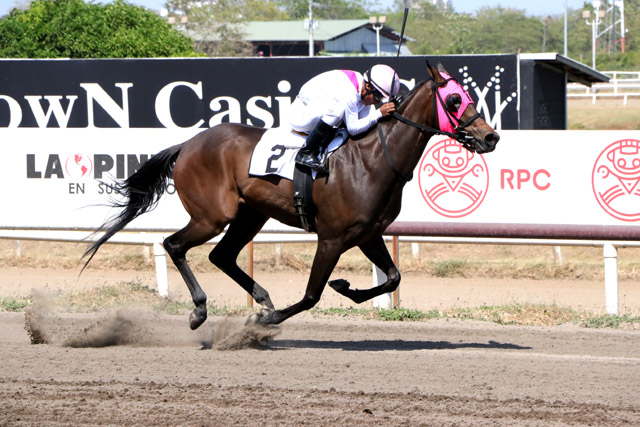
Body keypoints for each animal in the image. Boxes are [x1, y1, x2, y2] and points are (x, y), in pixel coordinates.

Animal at [84, 61, 500, 328]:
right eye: (454, 101)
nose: (490, 136)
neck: (373, 159)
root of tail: (187, 144)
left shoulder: (367, 234)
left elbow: (394, 278)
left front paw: (345, 287)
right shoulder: (331, 238)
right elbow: (313, 295)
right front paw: (267, 319)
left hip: (250, 214)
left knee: (221, 255)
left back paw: (260, 297)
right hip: (212, 215)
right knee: (174, 245)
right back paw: (201, 311)